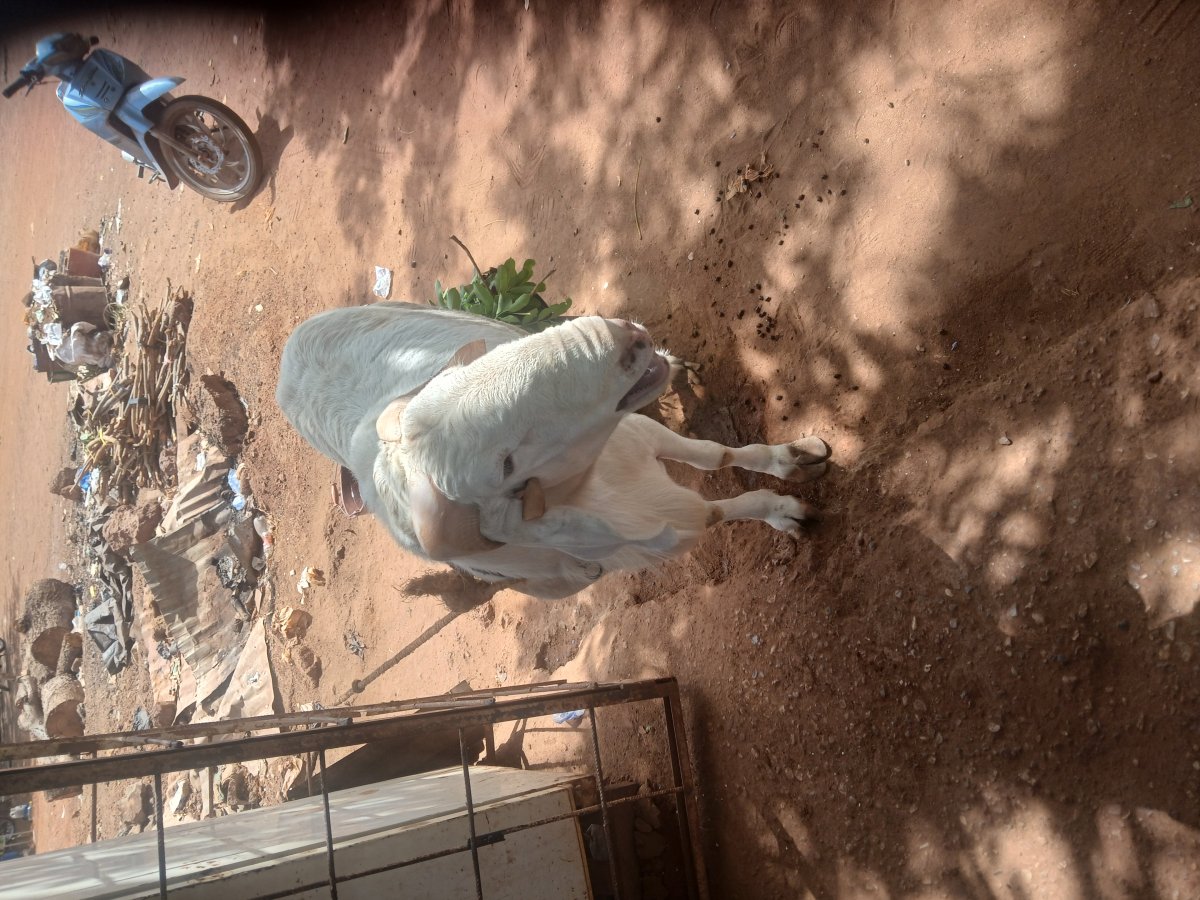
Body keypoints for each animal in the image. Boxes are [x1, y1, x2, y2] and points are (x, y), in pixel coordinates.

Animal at [276, 302, 830, 599]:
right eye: (506, 463)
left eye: (463, 371)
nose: (624, 340)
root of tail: (285, 369)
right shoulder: (665, 525)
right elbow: (720, 510)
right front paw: (785, 512)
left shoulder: (637, 435)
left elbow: (715, 455)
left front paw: (792, 457)